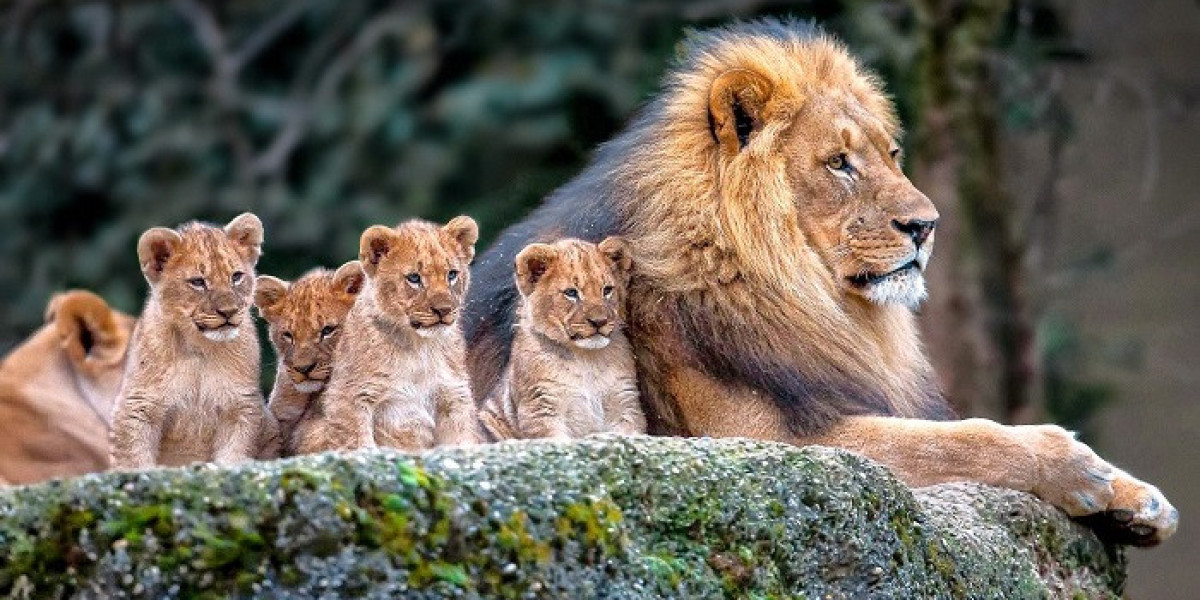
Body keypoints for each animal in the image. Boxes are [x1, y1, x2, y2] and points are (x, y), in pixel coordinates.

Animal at [110, 213, 278, 469]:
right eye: (198, 282)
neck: (200, 348)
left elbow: (234, 454)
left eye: (236, 277)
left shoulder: (240, 405)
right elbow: (134, 458)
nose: (228, 312)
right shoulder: (138, 405)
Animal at [314, 217, 480, 451]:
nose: (444, 310)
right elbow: (358, 442)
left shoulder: (454, 396)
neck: (419, 347)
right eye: (414, 278)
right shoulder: (349, 397)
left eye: (452, 274)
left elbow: (461, 440)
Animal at [479, 237, 645, 440]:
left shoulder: (624, 403)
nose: (599, 322)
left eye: (607, 290)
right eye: (571, 293)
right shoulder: (542, 409)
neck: (586, 359)